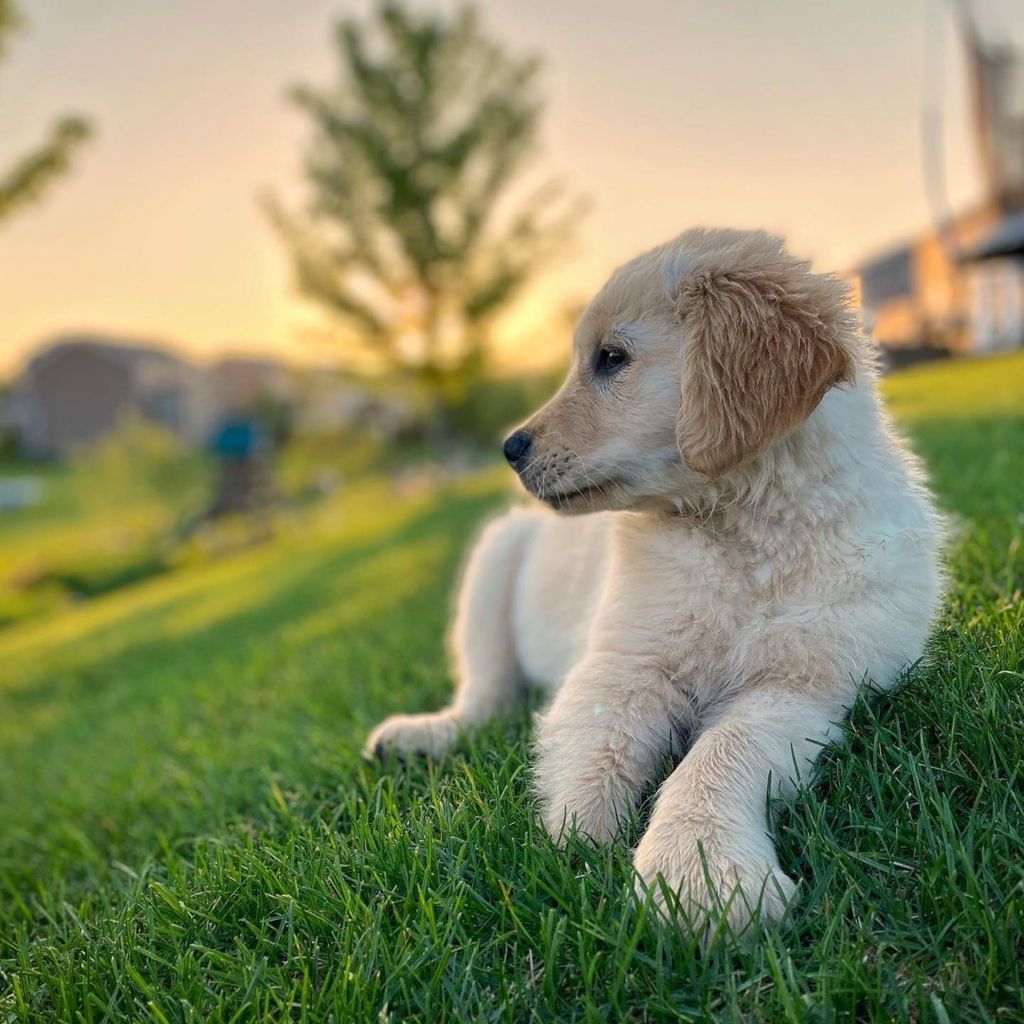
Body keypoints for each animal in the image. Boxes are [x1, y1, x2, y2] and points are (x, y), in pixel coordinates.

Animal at [364, 228, 937, 933]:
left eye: (611, 358)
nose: (510, 448)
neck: (743, 532)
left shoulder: (805, 689)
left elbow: (721, 753)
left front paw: (700, 872)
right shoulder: (623, 661)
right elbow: (599, 748)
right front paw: (575, 851)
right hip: (495, 561)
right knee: (485, 697)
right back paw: (421, 736)